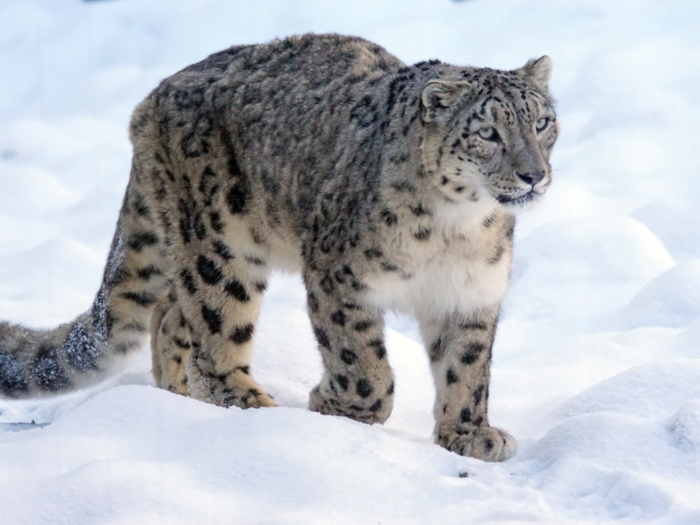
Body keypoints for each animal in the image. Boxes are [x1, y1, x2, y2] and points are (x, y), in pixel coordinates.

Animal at [1, 33, 556, 458]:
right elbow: (362, 364)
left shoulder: (471, 293)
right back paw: (256, 412)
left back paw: (177, 400)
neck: (456, 229)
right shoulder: (339, 277)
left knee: (170, 317)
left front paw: (469, 434)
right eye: (488, 132)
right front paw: (335, 406)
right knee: (213, 338)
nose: (534, 174)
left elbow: (467, 367)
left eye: (542, 122)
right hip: (220, 250)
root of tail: (152, 99)